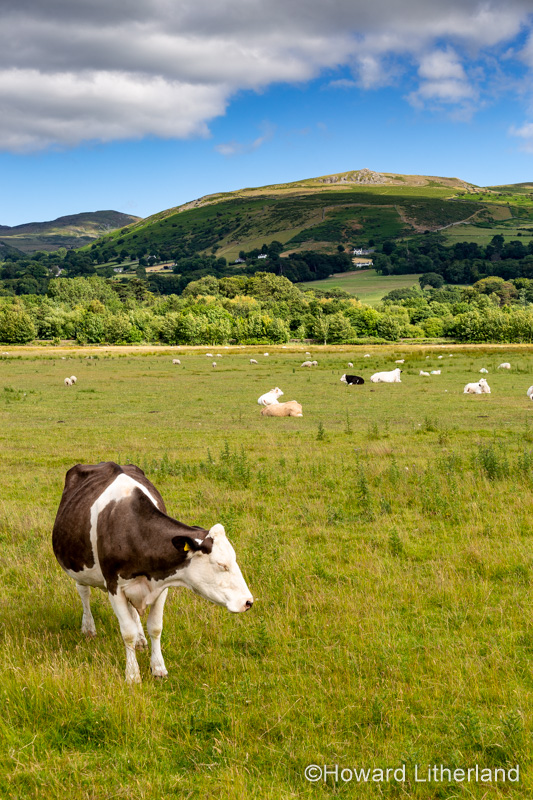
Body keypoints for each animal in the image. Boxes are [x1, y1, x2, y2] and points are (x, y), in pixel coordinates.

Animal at [52, 462, 253, 684]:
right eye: (221, 564)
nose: (248, 602)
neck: (133, 531)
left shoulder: (161, 584)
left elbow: (155, 627)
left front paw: (158, 667)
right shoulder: (114, 586)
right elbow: (127, 632)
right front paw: (132, 675)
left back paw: (140, 639)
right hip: (78, 564)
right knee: (84, 592)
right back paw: (88, 627)